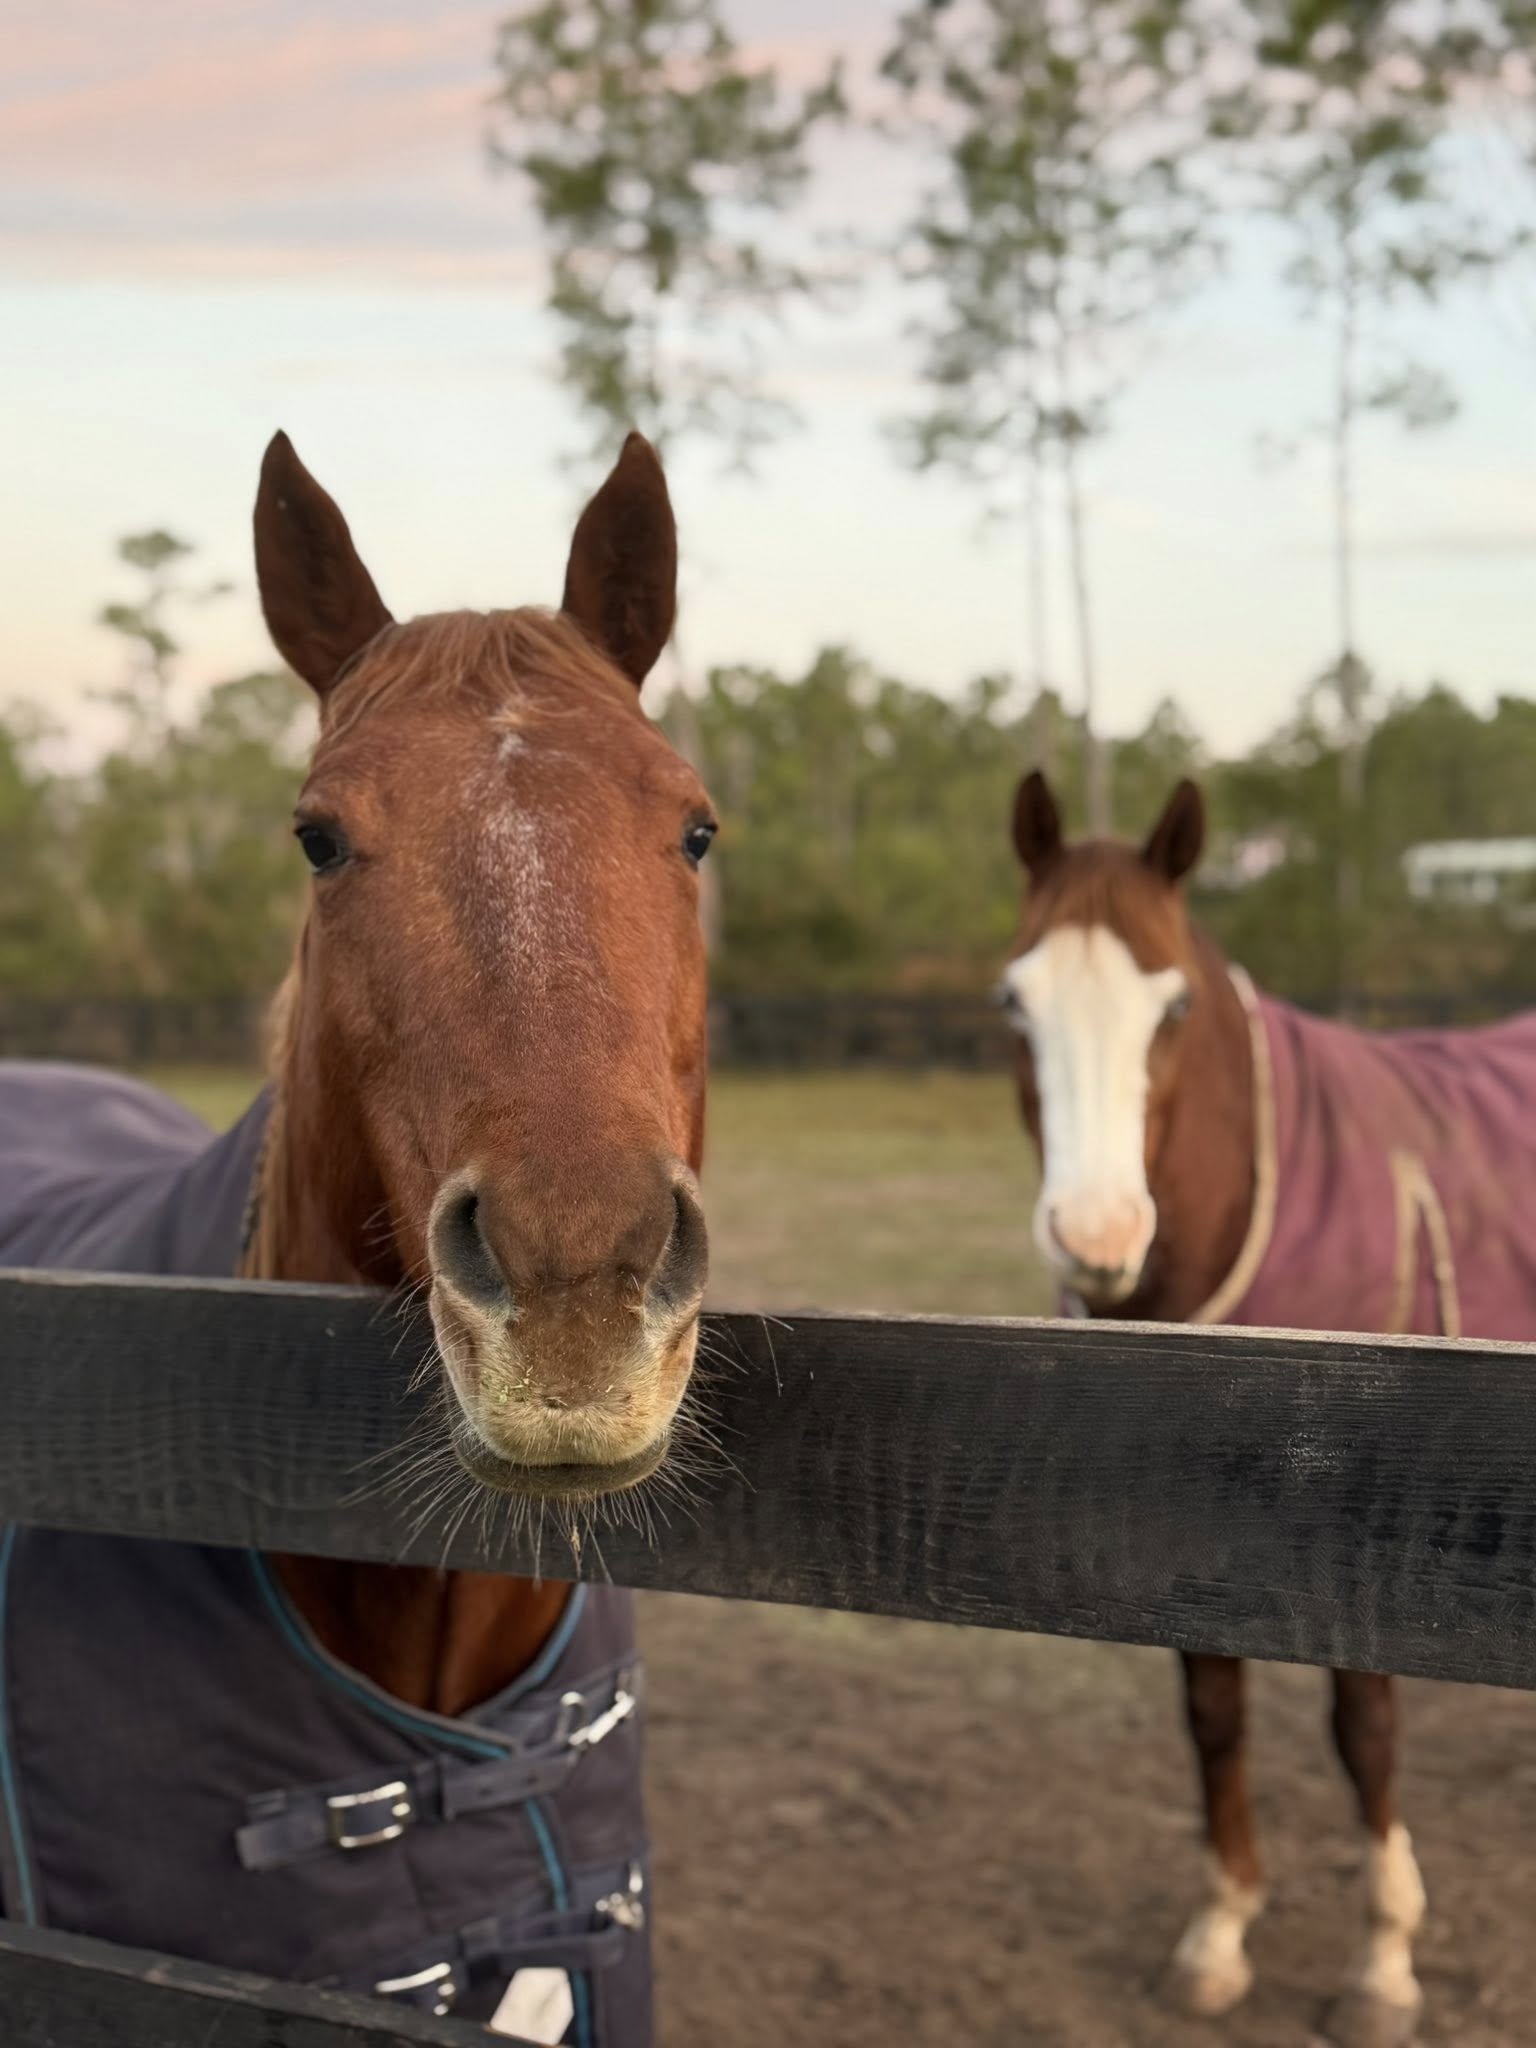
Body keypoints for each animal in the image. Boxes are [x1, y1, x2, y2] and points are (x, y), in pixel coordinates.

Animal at [999, 768, 1536, 2048]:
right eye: (1013, 1004)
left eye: (1174, 1006)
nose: (1098, 1236)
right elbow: (1213, 1709)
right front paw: (1219, 1931)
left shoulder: (1363, 1530)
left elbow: (1364, 1727)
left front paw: (1384, 1959)